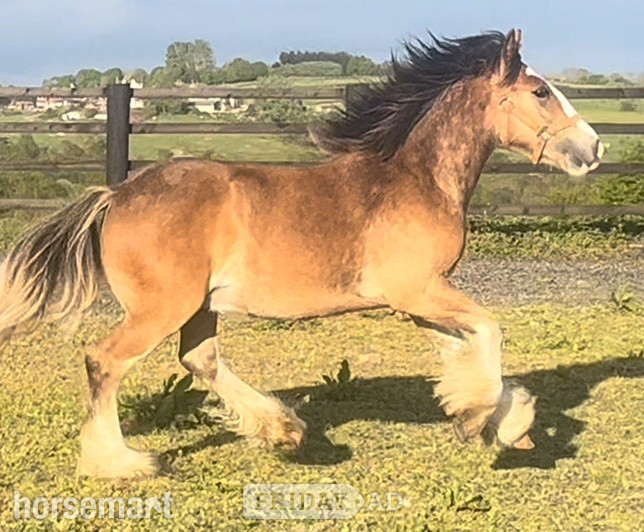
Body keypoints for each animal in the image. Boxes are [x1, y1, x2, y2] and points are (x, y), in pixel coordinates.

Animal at [0, 29, 603, 478]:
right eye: (541, 92)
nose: (593, 147)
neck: (416, 180)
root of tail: (116, 195)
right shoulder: (419, 291)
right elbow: (490, 331)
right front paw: (496, 422)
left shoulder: (417, 301)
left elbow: (464, 347)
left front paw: (492, 420)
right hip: (162, 307)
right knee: (106, 360)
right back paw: (120, 462)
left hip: (200, 306)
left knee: (199, 360)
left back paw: (284, 430)